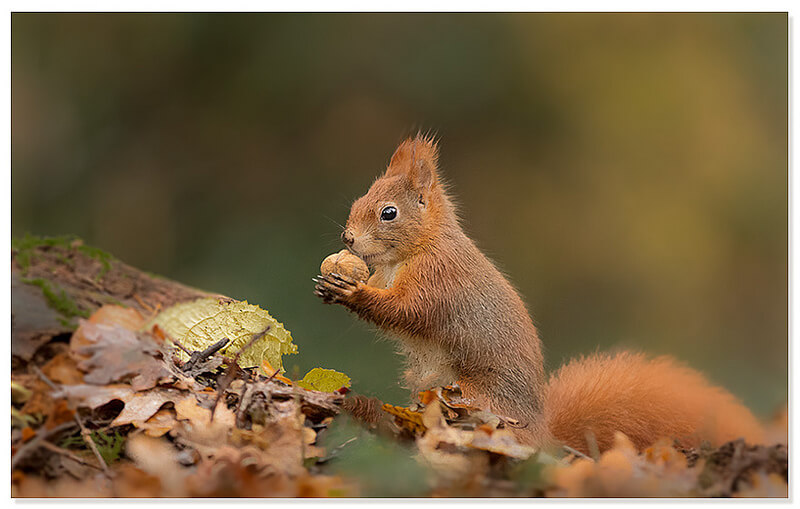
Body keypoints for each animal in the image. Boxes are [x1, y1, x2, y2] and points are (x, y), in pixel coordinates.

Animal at [314, 134, 765, 454]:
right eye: (360, 198)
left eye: (389, 213)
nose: (348, 238)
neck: (416, 250)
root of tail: (541, 434)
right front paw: (331, 283)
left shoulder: (438, 281)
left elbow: (407, 311)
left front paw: (351, 292)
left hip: (475, 398)